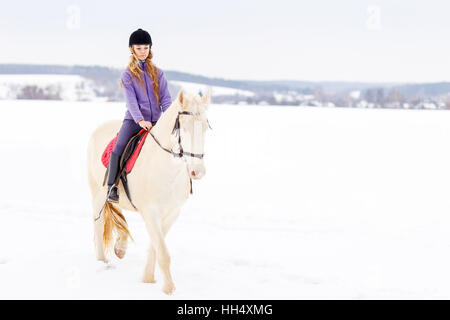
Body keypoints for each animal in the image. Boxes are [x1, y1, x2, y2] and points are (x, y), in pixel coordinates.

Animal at [87, 89, 212, 294]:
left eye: (205, 128)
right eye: (184, 128)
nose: (198, 172)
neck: (167, 169)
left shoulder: (171, 213)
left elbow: (155, 247)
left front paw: (147, 278)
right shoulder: (151, 212)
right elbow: (163, 252)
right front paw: (169, 289)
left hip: (112, 195)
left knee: (116, 211)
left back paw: (120, 247)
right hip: (97, 193)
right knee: (98, 224)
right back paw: (101, 261)